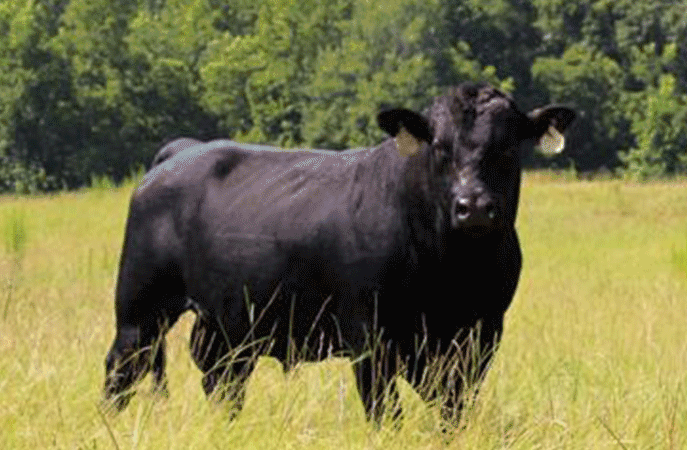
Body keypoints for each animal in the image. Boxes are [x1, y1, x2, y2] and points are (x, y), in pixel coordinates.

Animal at [103, 83, 575, 420]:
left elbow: (453, 410)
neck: (453, 268)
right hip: (141, 308)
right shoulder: (370, 335)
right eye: (439, 146)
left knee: (221, 379)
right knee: (121, 368)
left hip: (227, 323)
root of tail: (183, 150)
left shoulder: (480, 333)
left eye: (508, 147)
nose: (473, 206)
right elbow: (386, 413)